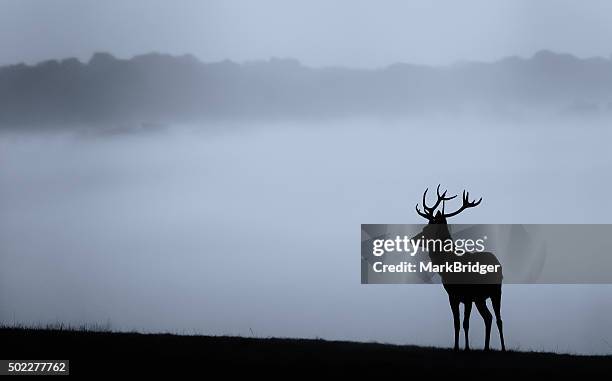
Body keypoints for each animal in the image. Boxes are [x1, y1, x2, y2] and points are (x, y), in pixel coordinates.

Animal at [416, 184, 506, 350]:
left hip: (496, 291)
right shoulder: (452, 296)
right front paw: (456, 347)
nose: (413, 239)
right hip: (480, 298)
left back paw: (503, 348)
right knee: (488, 317)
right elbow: (456, 323)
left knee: (498, 319)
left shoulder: (468, 295)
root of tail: (498, 263)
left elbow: (465, 323)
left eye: (427, 229)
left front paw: (467, 348)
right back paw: (486, 347)